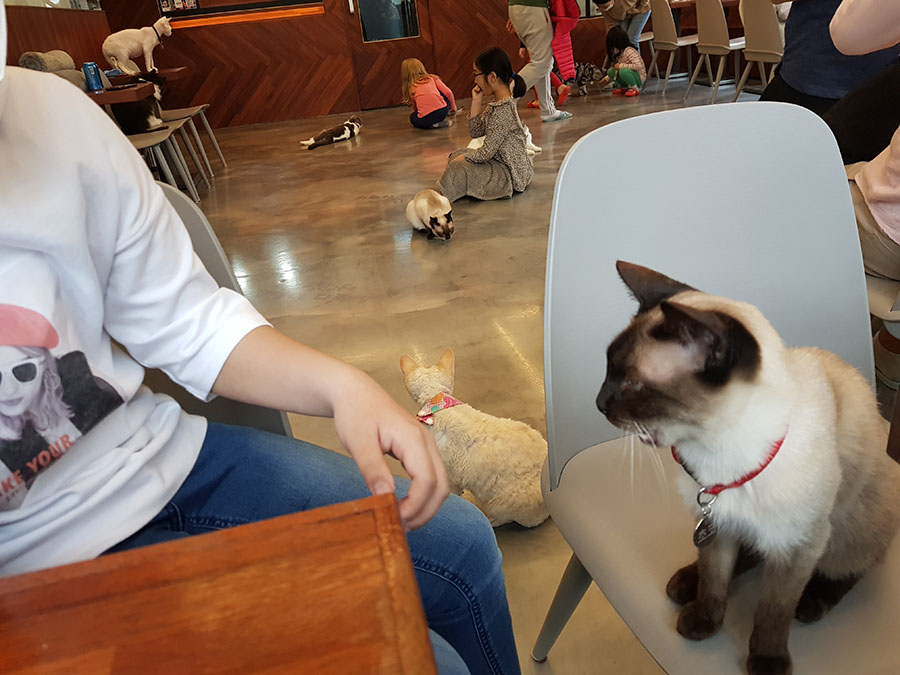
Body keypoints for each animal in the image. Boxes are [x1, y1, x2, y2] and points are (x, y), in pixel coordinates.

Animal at [596, 261, 900, 675]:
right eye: (607, 370)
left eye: (631, 384)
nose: (599, 403)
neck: (713, 456)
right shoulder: (716, 523)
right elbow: (714, 580)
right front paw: (703, 622)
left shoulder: (798, 545)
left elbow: (774, 610)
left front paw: (767, 661)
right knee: (747, 554)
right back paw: (685, 583)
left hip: (845, 530)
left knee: (845, 569)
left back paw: (811, 602)